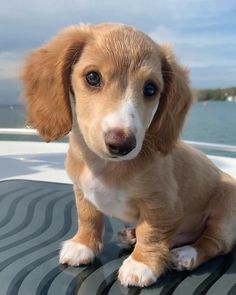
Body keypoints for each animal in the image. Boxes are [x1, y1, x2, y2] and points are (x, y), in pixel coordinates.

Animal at [20, 24, 236, 288]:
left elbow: (151, 233)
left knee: (215, 243)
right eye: (92, 77)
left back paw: (186, 254)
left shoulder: (161, 205)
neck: (103, 166)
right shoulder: (81, 191)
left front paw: (141, 264)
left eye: (150, 89)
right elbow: (88, 217)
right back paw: (133, 235)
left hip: (224, 210)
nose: (122, 144)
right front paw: (83, 245)